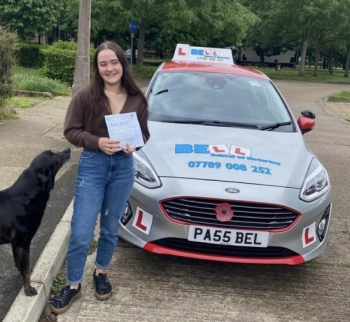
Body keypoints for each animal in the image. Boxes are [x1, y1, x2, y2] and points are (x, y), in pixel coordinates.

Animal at [0, 148, 71, 294]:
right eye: (55, 159)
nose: (68, 149)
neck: (26, 195)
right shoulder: (23, 243)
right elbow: (26, 270)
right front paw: (28, 289)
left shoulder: (16, 244)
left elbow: (20, 265)